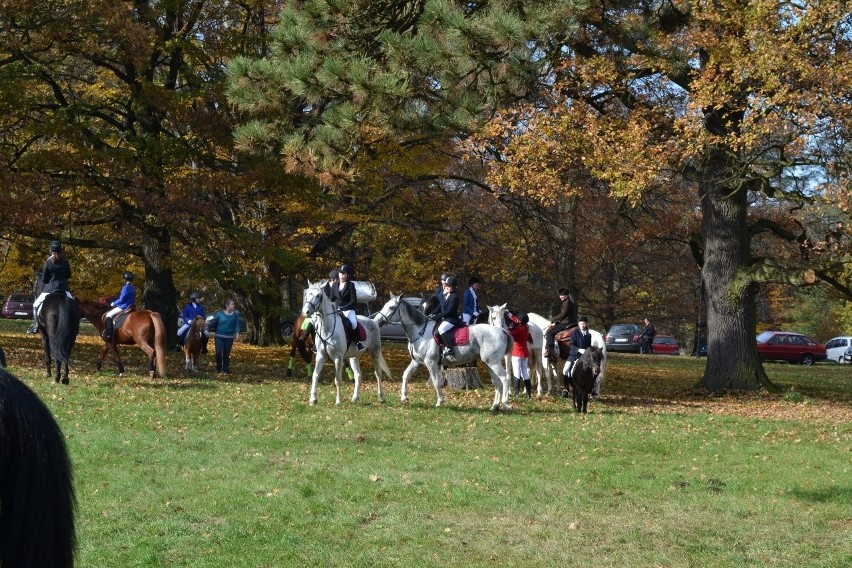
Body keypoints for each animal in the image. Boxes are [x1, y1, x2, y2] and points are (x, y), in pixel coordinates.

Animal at [374, 296, 512, 410]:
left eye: (391, 307)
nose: (377, 321)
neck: (421, 332)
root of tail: (501, 331)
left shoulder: (430, 362)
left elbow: (436, 381)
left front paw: (440, 401)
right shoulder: (417, 362)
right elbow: (406, 375)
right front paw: (404, 397)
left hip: (493, 363)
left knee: (505, 378)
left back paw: (505, 403)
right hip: (488, 363)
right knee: (497, 382)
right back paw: (494, 407)